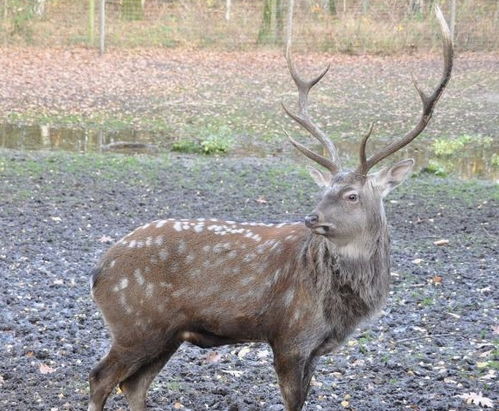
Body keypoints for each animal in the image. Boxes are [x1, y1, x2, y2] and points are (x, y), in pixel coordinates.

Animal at [88, 6, 456, 411]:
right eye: (324, 189)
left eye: (352, 195)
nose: (312, 218)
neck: (337, 310)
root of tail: (99, 270)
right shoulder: (290, 336)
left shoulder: (313, 349)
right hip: (134, 324)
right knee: (101, 378)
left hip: (166, 333)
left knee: (134, 384)